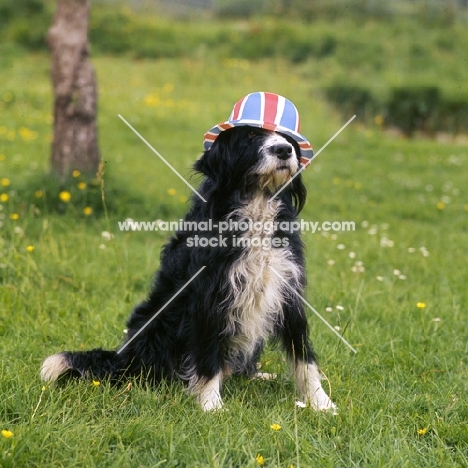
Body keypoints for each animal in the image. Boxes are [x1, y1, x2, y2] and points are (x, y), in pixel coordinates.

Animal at [38, 93, 334, 412]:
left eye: (287, 137)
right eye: (251, 134)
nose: (283, 150)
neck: (256, 202)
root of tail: (122, 359)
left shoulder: (288, 288)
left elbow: (303, 356)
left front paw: (321, 402)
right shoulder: (209, 294)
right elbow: (207, 355)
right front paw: (211, 404)